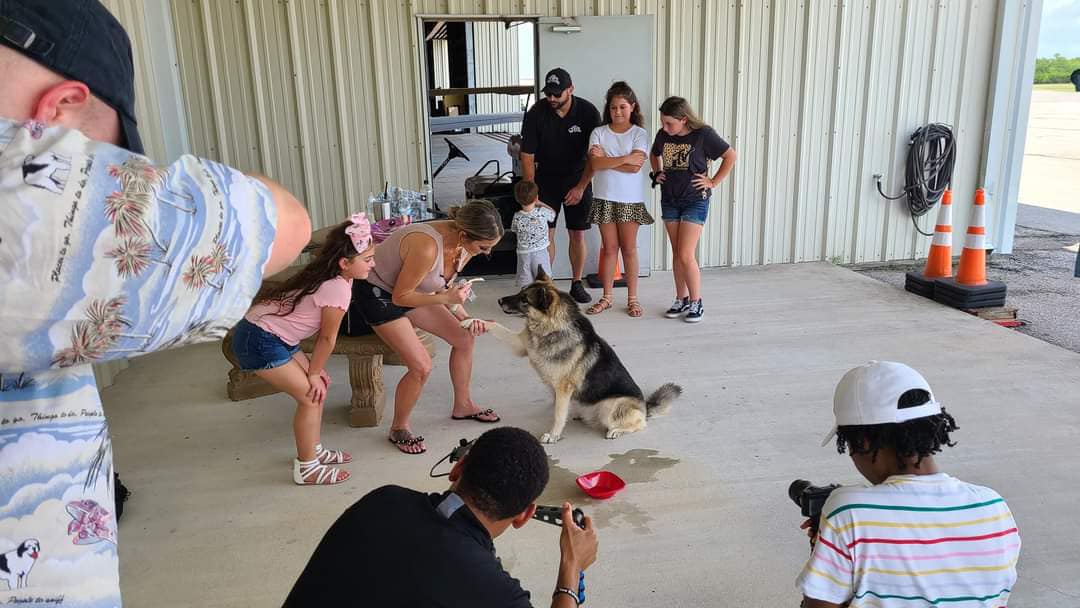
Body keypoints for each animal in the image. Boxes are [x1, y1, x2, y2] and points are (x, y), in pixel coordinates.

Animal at [498, 269, 682, 442]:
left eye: (525, 300)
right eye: (520, 292)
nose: (499, 301)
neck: (553, 327)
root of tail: (644, 406)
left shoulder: (563, 389)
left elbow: (558, 415)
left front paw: (553, 435)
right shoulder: (520, 345)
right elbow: (499, 330)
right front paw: (488, 323)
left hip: (610, 406)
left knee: (640, 424)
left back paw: (616, 431)